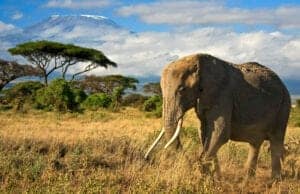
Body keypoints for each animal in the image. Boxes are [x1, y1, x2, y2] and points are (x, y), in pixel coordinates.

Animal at [145, 53, 290, 179]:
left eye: (181, 89)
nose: (148, 159)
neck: (197, 60)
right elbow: (204, 133)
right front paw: (215, 178)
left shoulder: (223, 94)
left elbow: (219, 133)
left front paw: (202, 176)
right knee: (255, 143)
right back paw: (247, 179)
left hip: (284, 106)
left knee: (276, 141)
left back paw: (274, 181)